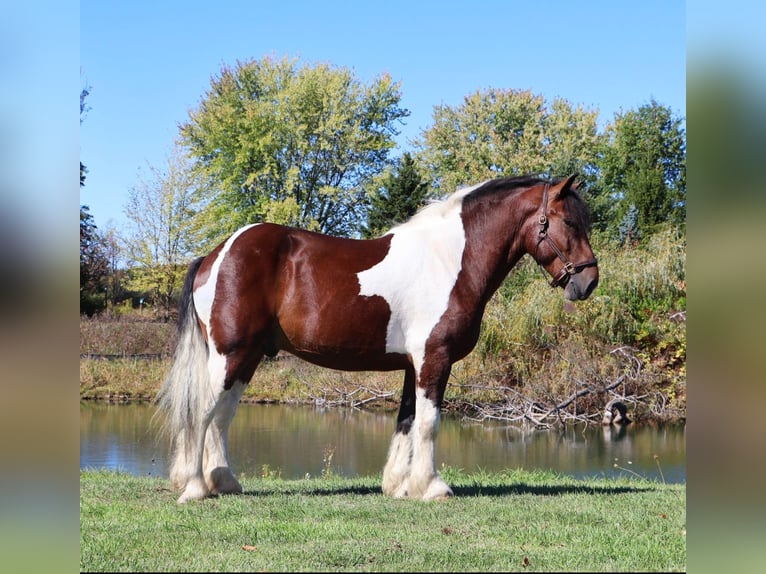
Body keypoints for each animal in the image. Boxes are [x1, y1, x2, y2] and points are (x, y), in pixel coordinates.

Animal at [157, 174, 599, 503]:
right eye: (568, 222)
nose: (589, 282)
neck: (450, 260)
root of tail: (215, 255)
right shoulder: (434, 359)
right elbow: (428, 423)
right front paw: (432, 487)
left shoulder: (412, 364)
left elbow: (406, 421)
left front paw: (399, 486)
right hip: (228, 355)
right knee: (203, 414)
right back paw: (195, 488)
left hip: (244, 358)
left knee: (222, 417)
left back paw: (225, 483)